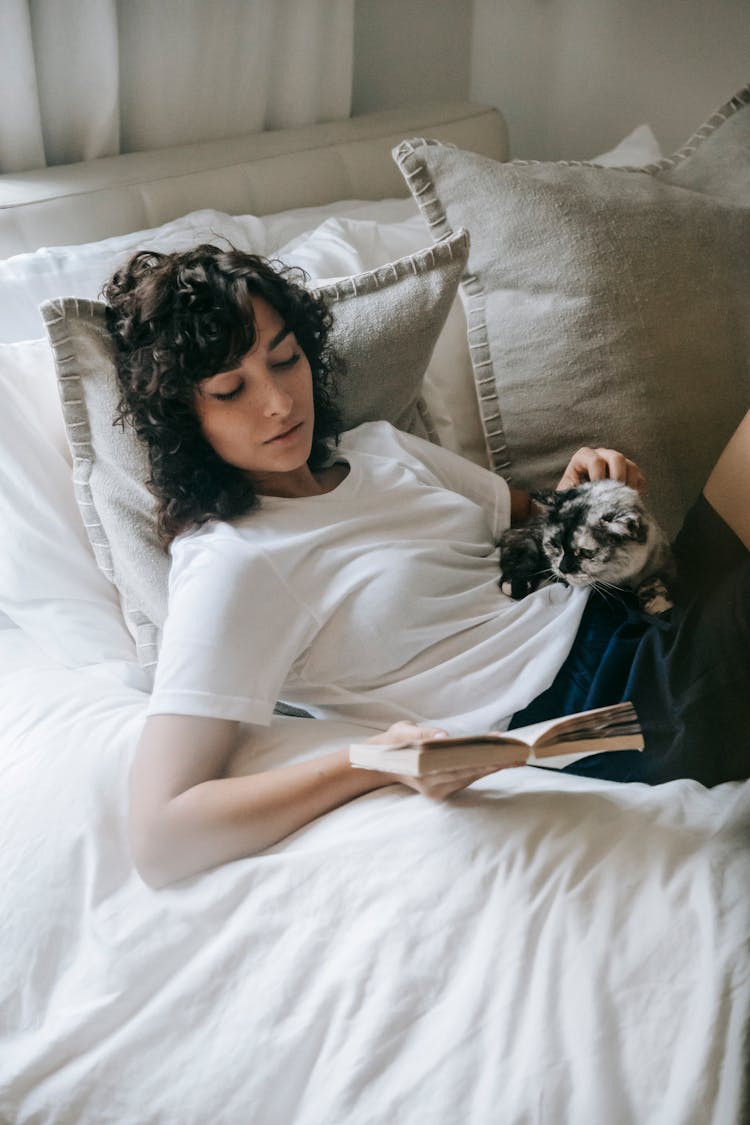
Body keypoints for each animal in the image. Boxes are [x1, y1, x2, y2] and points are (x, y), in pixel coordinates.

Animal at [494, 477, 679, 616]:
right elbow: (522, 551)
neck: (624, 580)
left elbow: (656, 579)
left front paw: (657, 602)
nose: (563, 569)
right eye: (555, 545)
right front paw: (515, 584)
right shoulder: (521, 532)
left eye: (585, 553)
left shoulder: (665, 563)